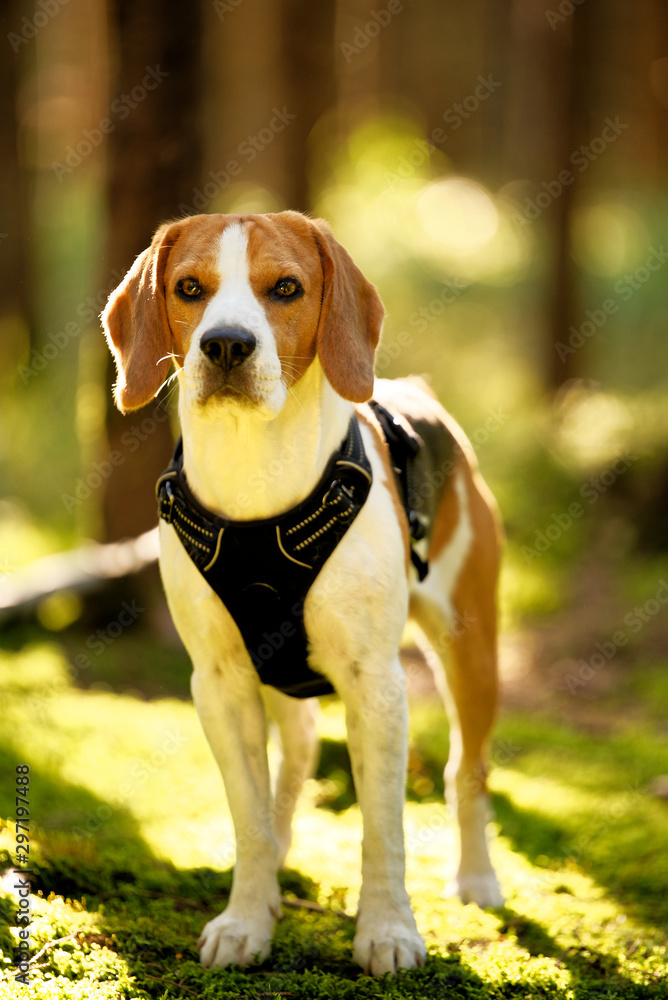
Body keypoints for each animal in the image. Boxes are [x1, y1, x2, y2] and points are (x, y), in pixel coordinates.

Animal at [102, 213, 504, 976]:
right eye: (189, 288)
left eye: (285, 288)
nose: (227, 344)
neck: (254, 476)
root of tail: (419, 393)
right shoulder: (219, 684)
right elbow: (250, 817)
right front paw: (247, 920)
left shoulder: (377, 685)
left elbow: (383, 828)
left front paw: (388, 930)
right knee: (295, 758)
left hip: (470, 650)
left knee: (465, 768)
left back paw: (476, 878)